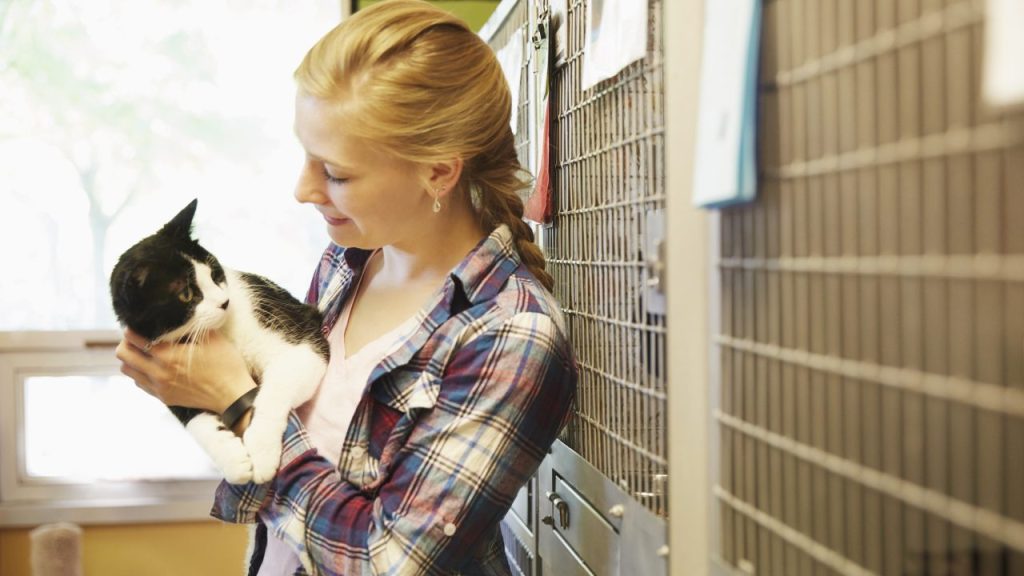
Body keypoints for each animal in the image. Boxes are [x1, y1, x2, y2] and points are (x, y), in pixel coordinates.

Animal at [108, 199, 325, 481]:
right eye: (186, 294)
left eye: (213, 273)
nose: (225, 302)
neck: (218, 330)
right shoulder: (162, 376)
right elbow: (191, 417)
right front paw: (233, 460)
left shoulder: (300, 334)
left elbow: (276, 388)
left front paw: (262, 451)